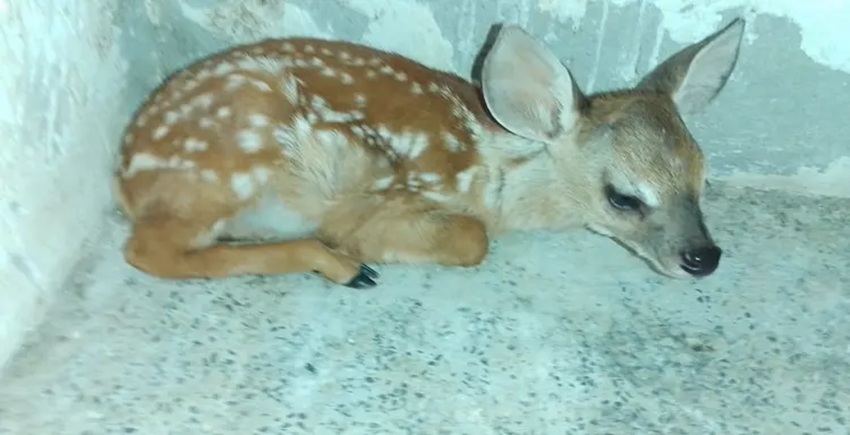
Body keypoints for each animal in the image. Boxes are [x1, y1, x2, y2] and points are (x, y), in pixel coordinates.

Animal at [114, 19, 746, 289]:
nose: (703, 257)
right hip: (232, 169)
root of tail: (126, 173)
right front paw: (357, 250)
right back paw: (341, 266)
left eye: (703, 177)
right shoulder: (382, 198)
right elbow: (472, 240)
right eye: (623, 197)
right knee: (150, 251)